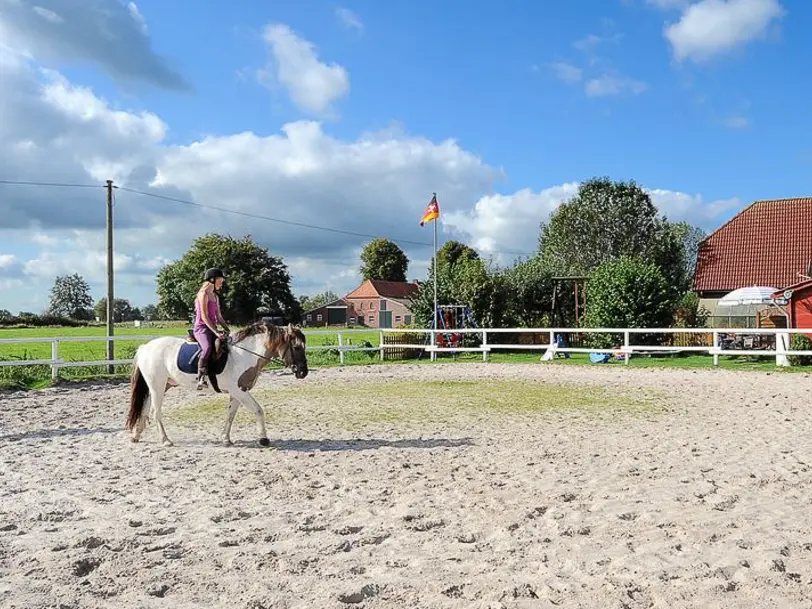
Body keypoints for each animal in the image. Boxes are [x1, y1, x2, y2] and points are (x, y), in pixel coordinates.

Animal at [127, 318, 308, 446]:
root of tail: (145, 347)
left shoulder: (238, 392)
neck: (245, 354)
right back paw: (165, 440)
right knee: (155, 412)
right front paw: (263, 439)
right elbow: (258, 410)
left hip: (162, 386)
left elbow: (231, 415)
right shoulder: (239, 391)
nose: (303, 372)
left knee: (145, 409)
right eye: (297, 347)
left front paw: (226, 439)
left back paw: (136, 436)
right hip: (157, 386)